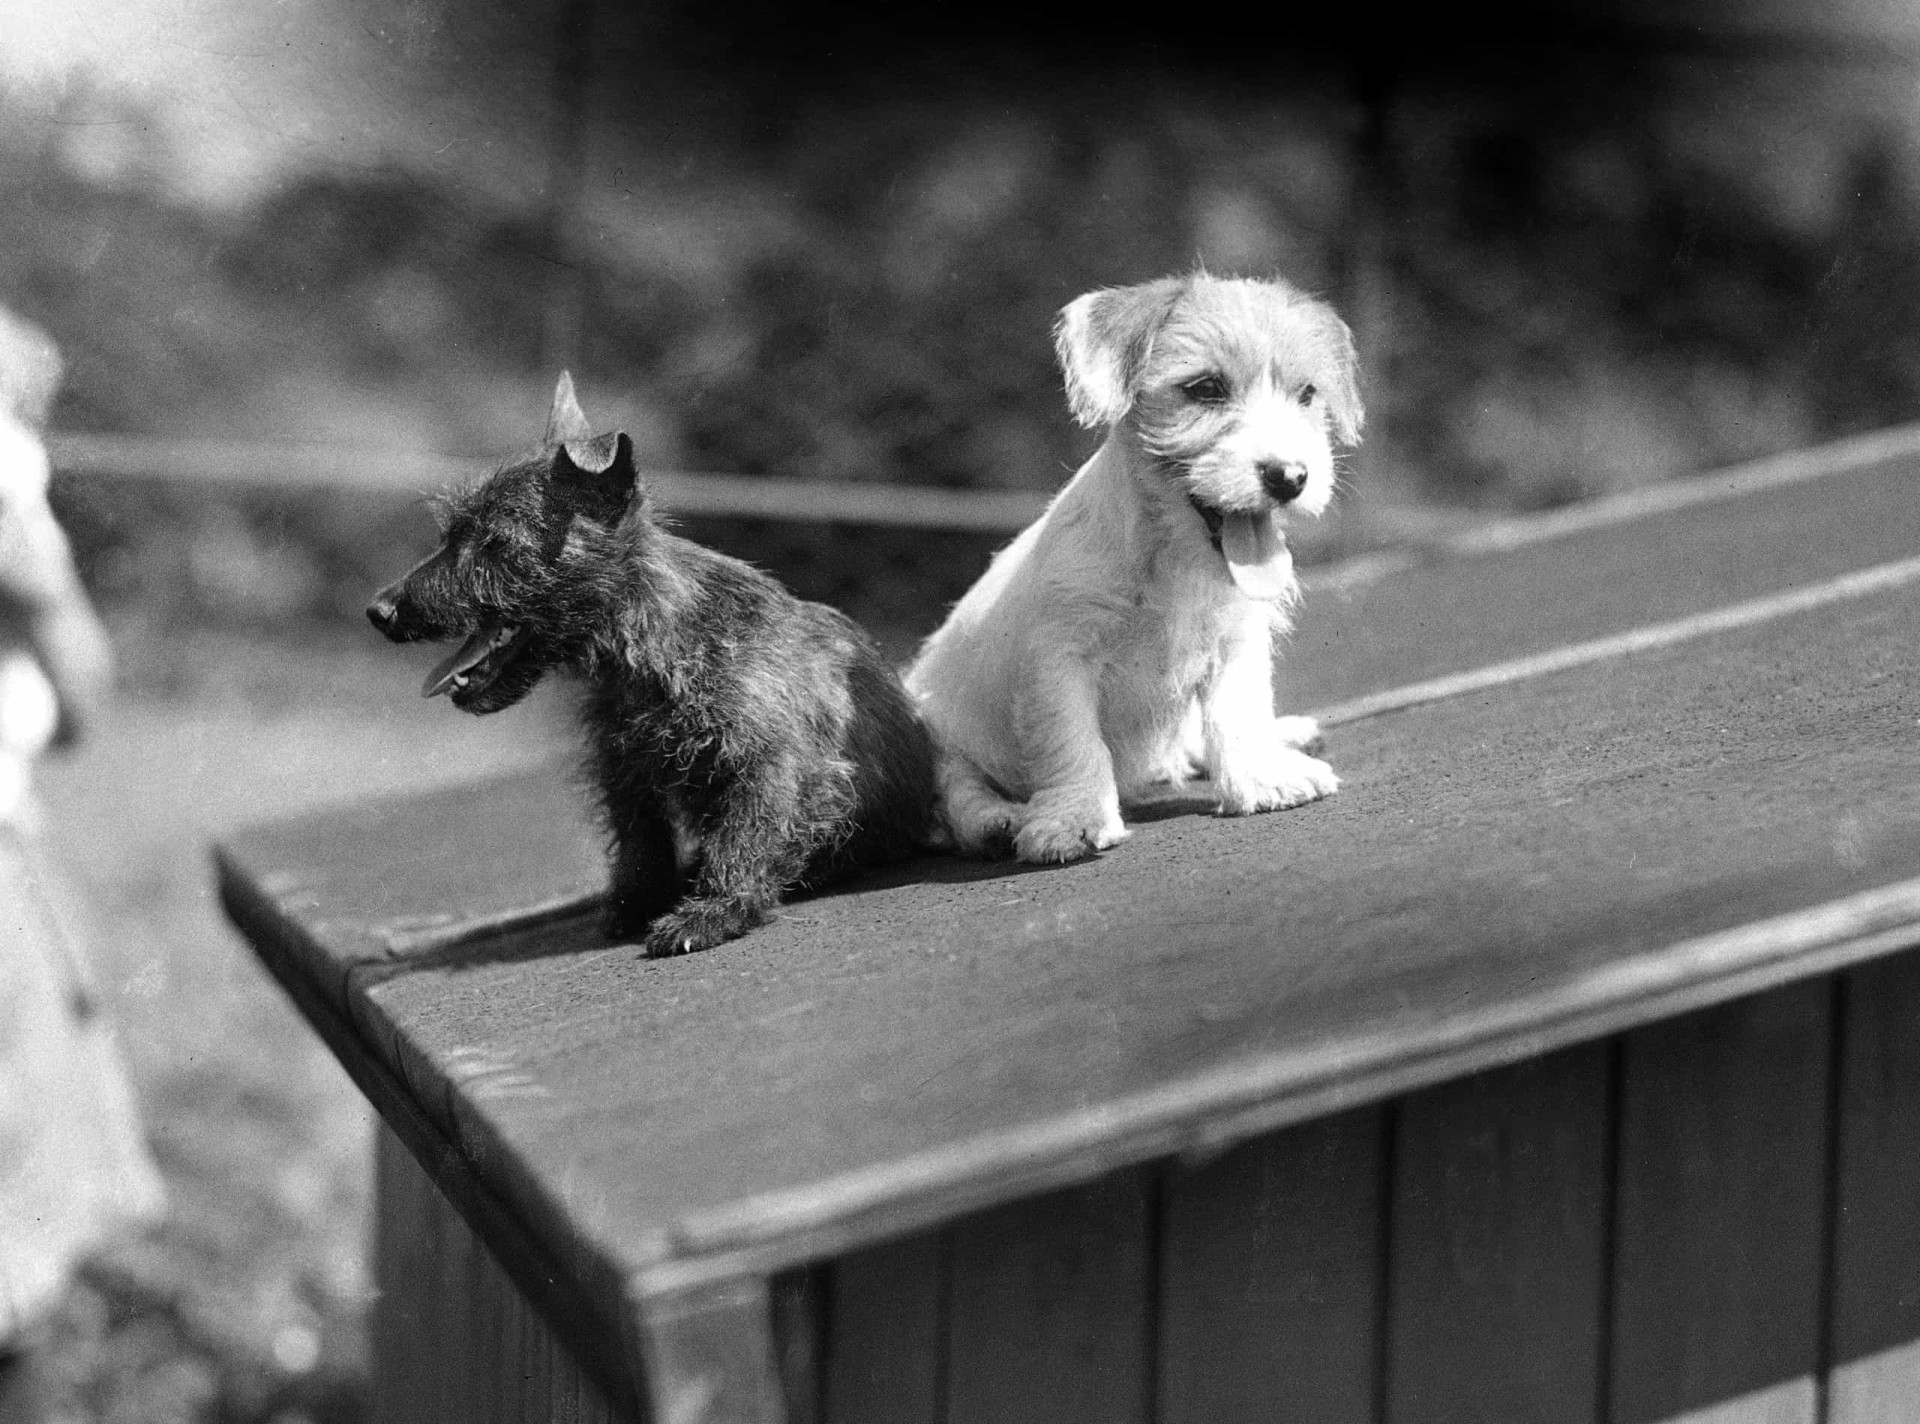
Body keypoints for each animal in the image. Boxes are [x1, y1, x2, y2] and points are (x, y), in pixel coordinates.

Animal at [368, 376, 936, 959]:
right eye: (449, 535)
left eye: (493, 542)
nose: (379, 611)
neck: (650, 642)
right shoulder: (626, 767)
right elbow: (640, 840)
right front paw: (638, 900)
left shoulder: (769, 759)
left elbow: (744, 835)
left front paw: (714, 911)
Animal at [906, 272, 1359, 863]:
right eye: (1206, 388)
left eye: (1307, 394)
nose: (1290, 477)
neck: (1174, 558)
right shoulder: (1061, 659)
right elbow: (1074, 742)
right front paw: (1074, 818)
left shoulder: (1235, 640)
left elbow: (1236, 714)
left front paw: (1261, 777)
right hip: (929, 727)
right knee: (956, 792)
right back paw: (995, 818)